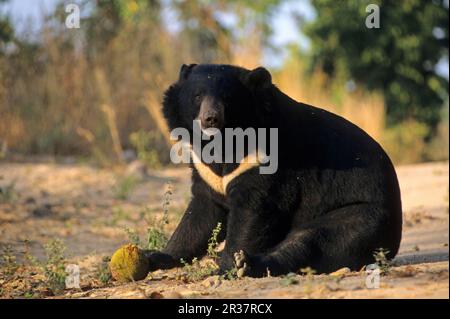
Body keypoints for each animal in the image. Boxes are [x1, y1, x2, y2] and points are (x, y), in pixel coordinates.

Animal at [147, 63, 400, 278]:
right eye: (197, 96)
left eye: (227, 98)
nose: (210, 119)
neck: (224, 142)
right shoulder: (205, 172)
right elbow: (200, 214)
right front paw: (157, 256)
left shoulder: (266, 159)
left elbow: (254, 210)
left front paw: (227, 266)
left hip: (363, 215)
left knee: (313, 240)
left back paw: (246, 264)